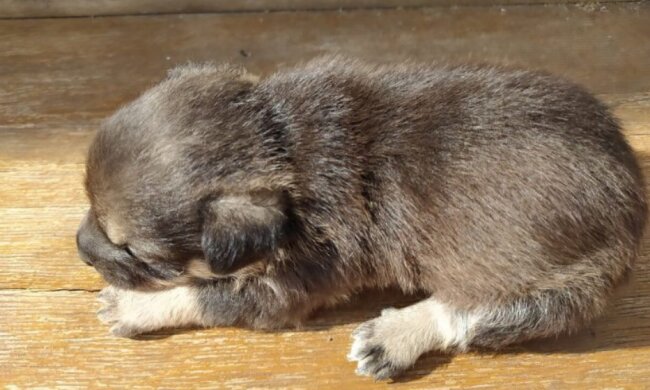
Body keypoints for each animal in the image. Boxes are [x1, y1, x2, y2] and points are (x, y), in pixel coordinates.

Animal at [74, 57, 644, 378]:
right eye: (89, 201)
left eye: (136, 253)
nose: (80, 246)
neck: (281, 139)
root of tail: (633, 200)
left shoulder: (288, 286)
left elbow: (200, 295)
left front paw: (131, 306)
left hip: (550, 291)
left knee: (469, 313)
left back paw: (392, 337)